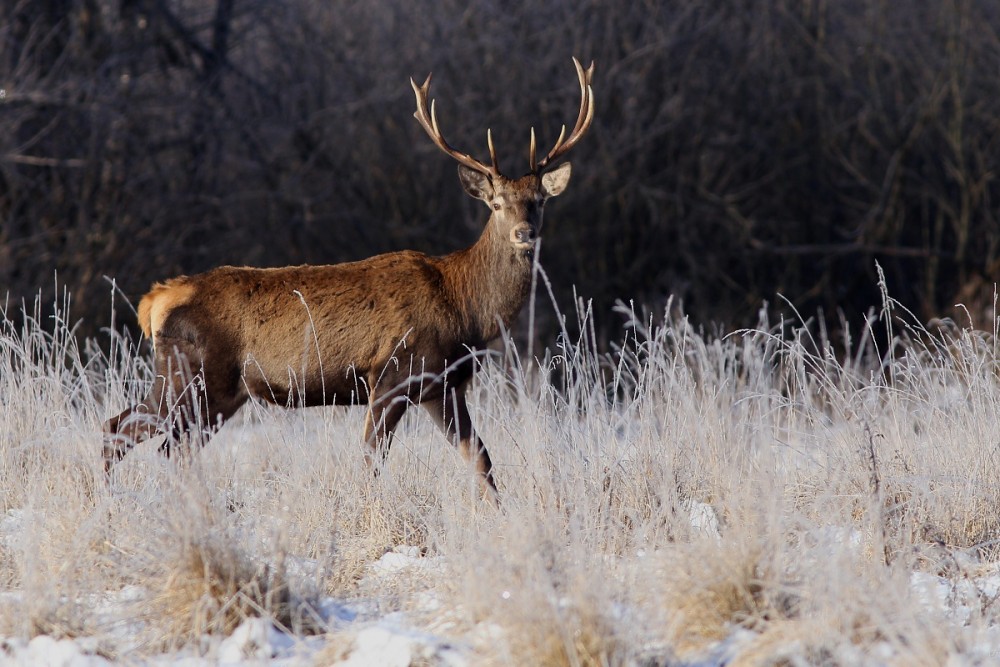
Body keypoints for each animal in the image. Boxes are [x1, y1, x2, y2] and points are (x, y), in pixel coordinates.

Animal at [103, 57, 592, 504]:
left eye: (538, 201)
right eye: (496, 204)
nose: (524, 233)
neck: (464, 310)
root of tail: (156, 300)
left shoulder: (442, 385)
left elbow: (481, 457)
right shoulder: (391, 374)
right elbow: (372, 459)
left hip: (207, 389)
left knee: (140, 436)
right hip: (195, 376)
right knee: (139, 437)